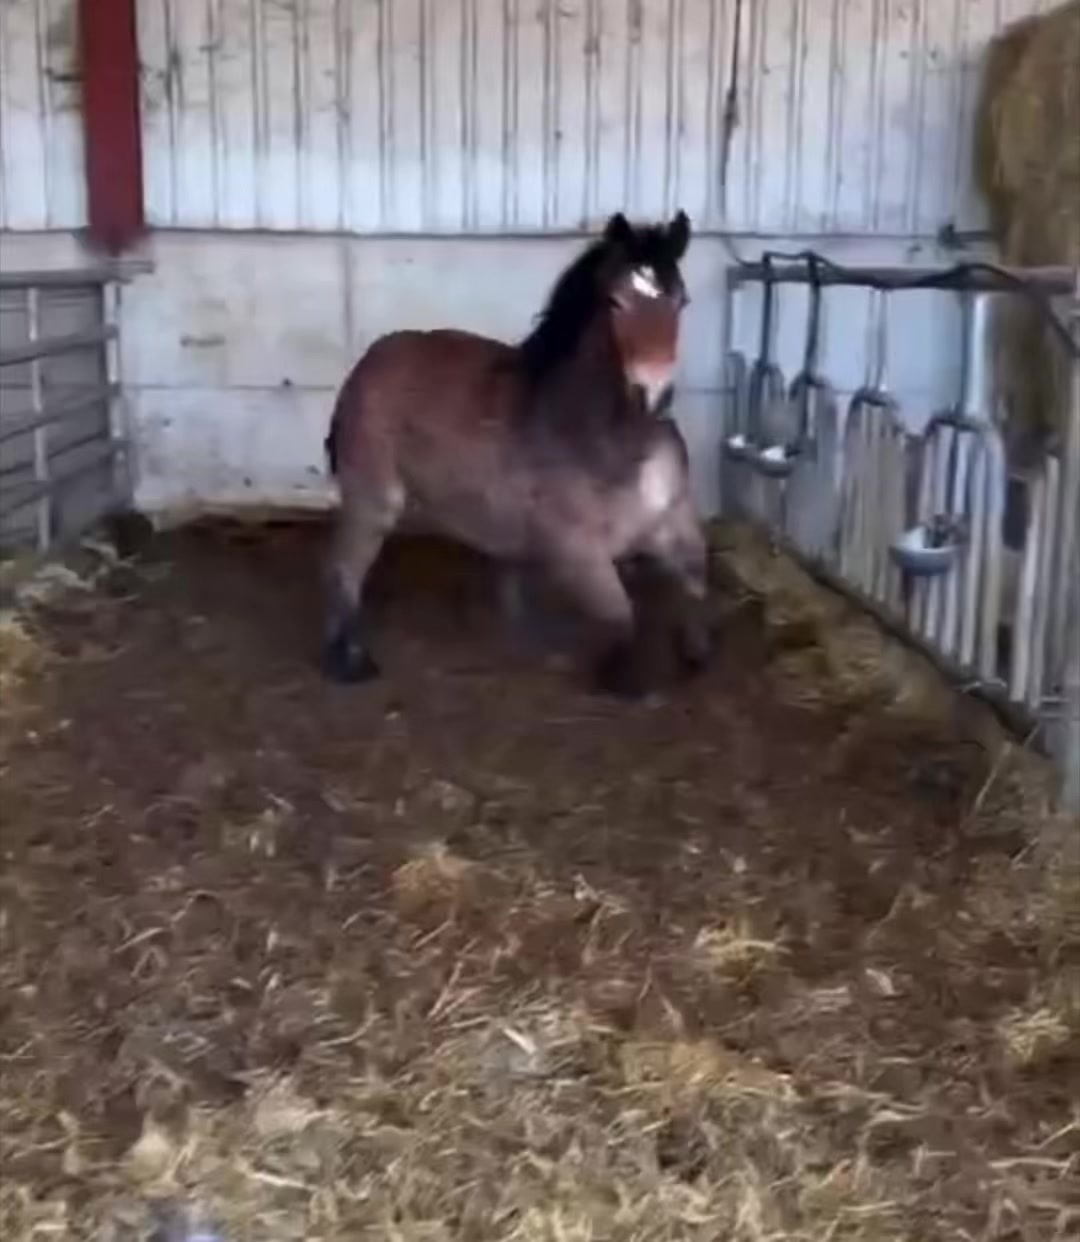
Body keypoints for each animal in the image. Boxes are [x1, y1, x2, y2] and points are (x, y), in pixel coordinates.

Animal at [322, 210, 710, 698]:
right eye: (616, 303)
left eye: (682, 301)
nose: (655, 394)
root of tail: (367, 363)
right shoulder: (576, 551)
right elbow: (621, 617)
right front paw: (625, 680)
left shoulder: (673, 524)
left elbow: (697, 580)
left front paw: (695, 652)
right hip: (374, 496)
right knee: (343, 566)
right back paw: (350, 660)